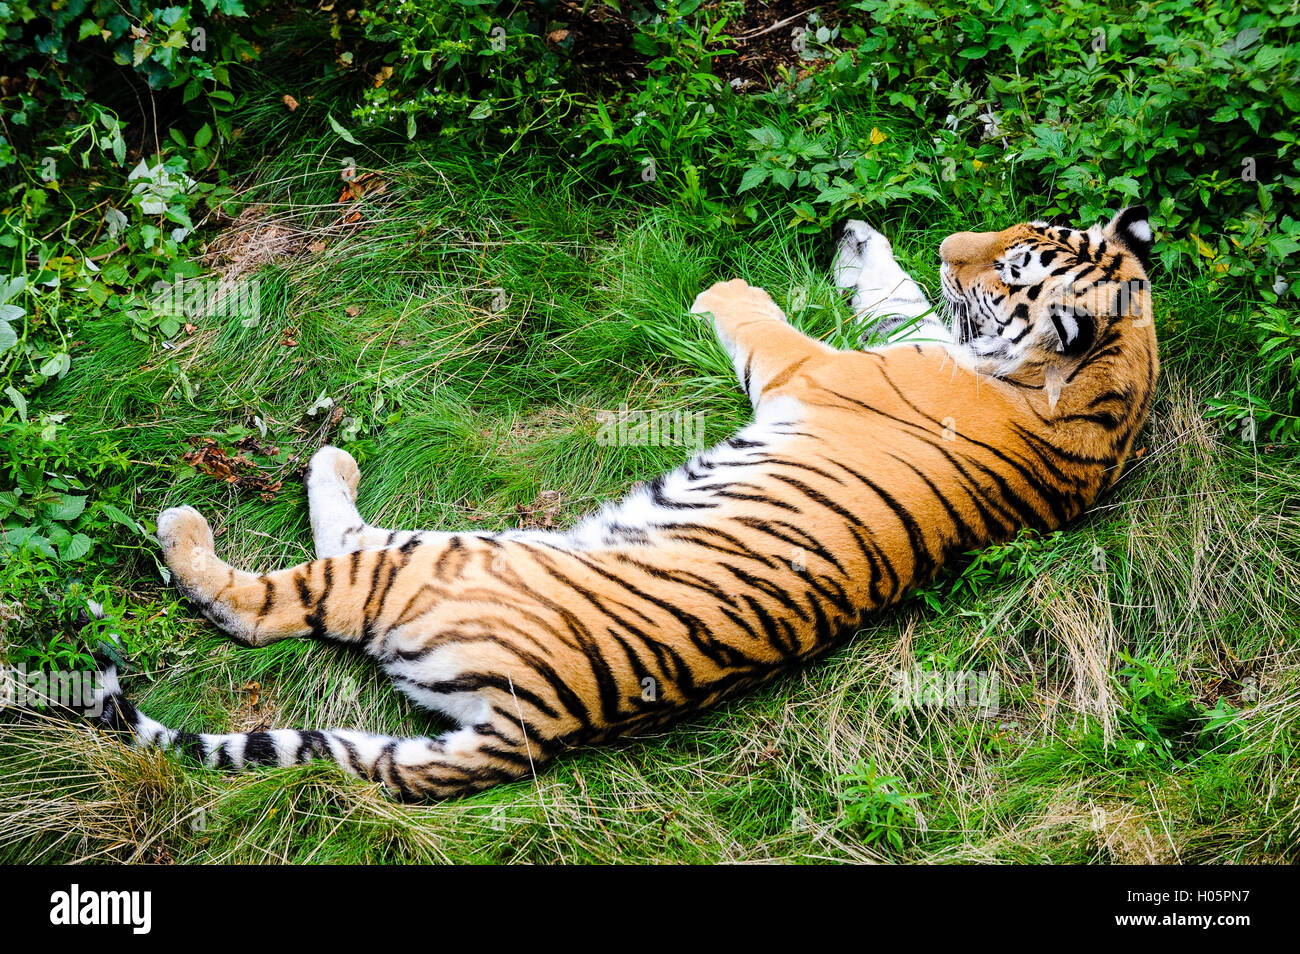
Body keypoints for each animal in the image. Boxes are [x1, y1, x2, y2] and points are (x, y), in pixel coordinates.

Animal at [98, 207, 1159, 800]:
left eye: (1013, 269)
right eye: (1015, 235)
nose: (949, 239)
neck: (1103, 392)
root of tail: (538, 731)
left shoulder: (814, 368)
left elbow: (764, 320)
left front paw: (725, 283)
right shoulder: (916, 347)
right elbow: (904, 301)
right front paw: (868, 244)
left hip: (439, 558)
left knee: (278, 602)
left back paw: (223, 512)